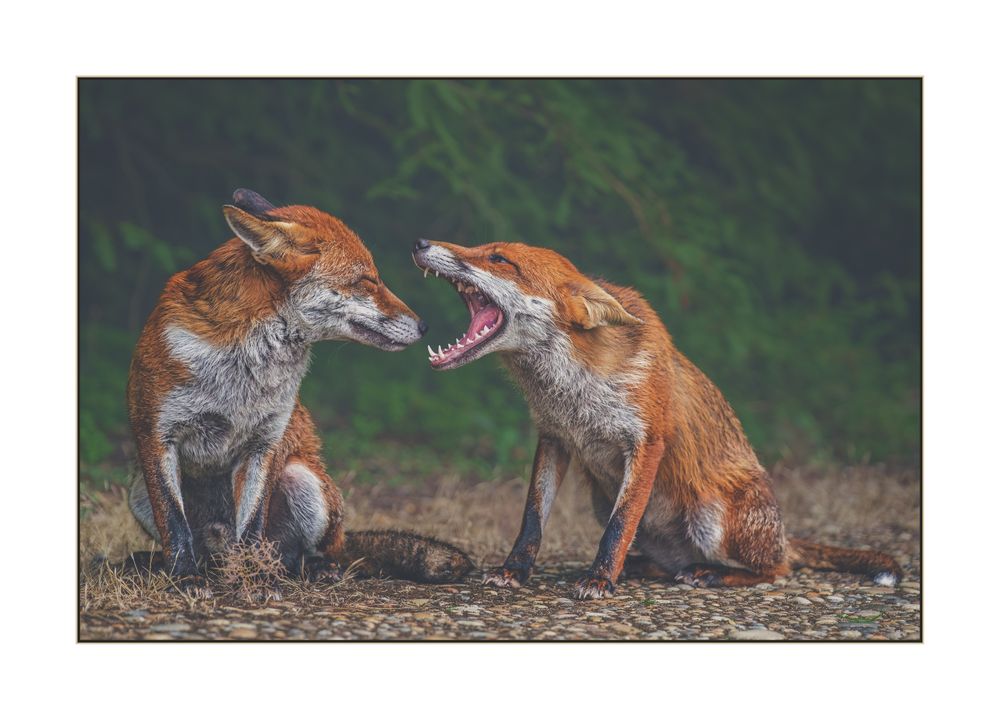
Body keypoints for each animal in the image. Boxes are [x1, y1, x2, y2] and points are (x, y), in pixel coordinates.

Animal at [124, 190, 473, 597]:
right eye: (367, 280)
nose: (424, 326)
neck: (241, 373)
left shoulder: (264, 443)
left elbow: (252, 528)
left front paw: (255, 581)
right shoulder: (157, 436)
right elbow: (175, 526)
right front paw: (184, 579)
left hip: (304, 480)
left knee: (308, 554)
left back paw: (312, 569)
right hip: (137, 490)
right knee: (203, 547)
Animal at [411, 238, 902, 600]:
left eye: (499, 258)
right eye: (481, 247)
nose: (420, 242)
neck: (574, 389)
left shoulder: (646, 442)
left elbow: (620, 525)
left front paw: (599, 580)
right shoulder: (553, 437)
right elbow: (532, 518)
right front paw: (515, 571)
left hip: (712, 517)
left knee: (777, 568)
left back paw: (709, 573)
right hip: (602, 500)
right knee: (669, 564)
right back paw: (645, 567)